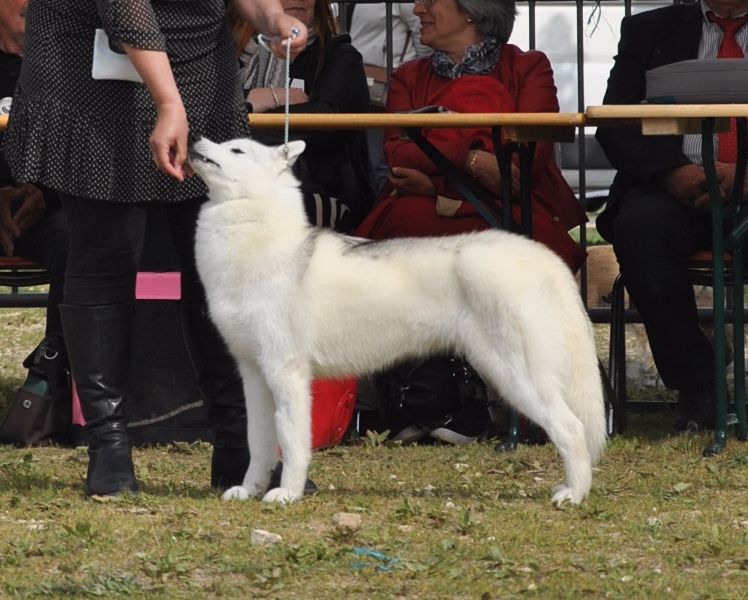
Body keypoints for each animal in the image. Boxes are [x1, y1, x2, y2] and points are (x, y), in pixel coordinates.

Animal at [190, 137, 604, 506]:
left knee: (572, 428)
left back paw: (575, 494)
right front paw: (249, 489)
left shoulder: (287, 374)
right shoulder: (254, 375)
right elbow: (257, 442)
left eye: (236, 149)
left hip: (513, 374)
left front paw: (287, 494)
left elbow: (291, 442)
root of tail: (538, 254)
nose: (195, 141)